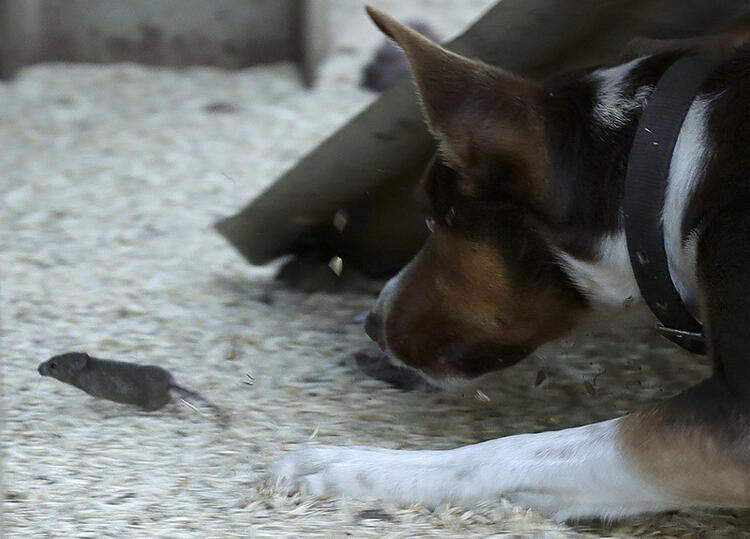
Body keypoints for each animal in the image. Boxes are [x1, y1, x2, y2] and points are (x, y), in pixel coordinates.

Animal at [274, 6, 750, 520]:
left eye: (431, 214)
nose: (371, 324)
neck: (669, 165)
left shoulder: (733, 419)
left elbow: (516, 451)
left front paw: (347, 464)